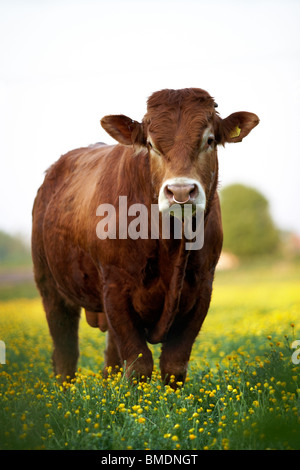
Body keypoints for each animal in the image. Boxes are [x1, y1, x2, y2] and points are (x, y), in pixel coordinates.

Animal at [31, 88, 258, 386]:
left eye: (209, 140)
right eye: (151, 145)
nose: (180, 191)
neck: (171, 243)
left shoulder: (202, 287)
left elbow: (174, 365)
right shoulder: (115, 288)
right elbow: (138, 366)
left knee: (110, 361)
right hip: (50, 285)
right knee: (65, 356)